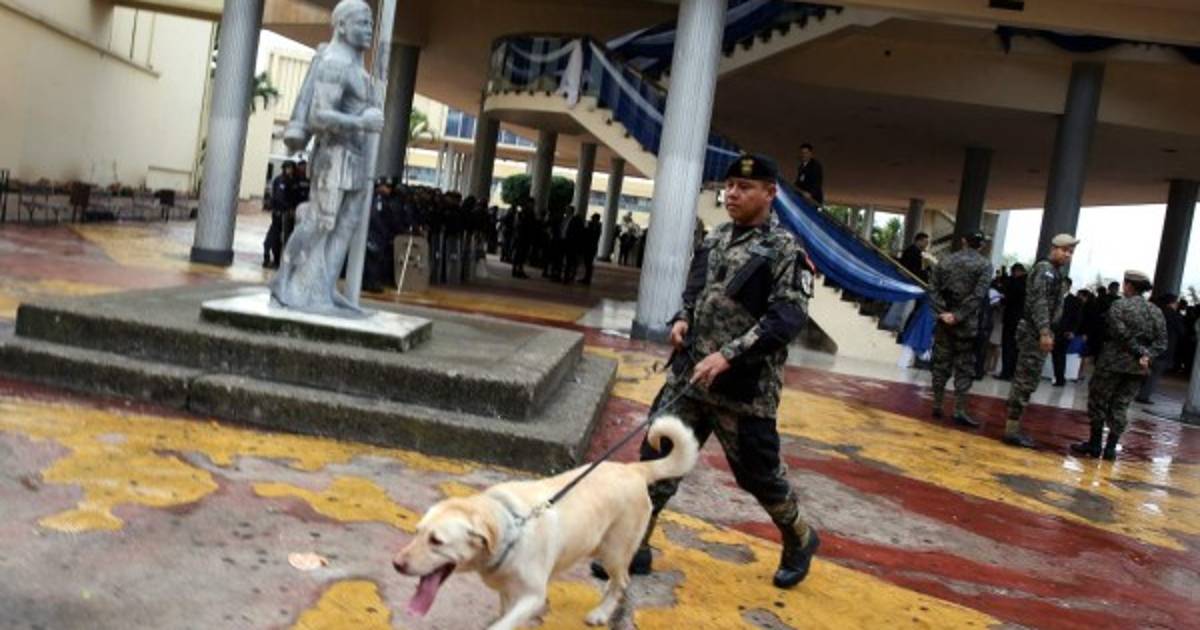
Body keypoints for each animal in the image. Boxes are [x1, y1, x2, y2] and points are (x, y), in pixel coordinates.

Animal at [393, 415, 699, 630]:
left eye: (436, 541)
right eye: (417, 532)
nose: (396, 564)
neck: (510, 530)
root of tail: (634, 469)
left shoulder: (532, 597)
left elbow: (503, 624)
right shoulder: (508, 594)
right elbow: (505, 618)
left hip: (613, 551)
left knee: (621, 581)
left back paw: (601, 613)